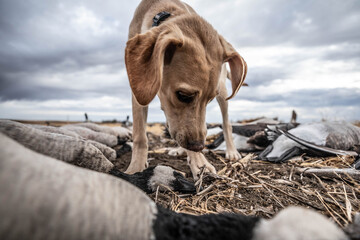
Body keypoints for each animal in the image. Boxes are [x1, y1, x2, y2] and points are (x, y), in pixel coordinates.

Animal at [124, 0, 248, 179]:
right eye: (183, 95)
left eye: (209, 99)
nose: (199, 146)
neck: (162, 9)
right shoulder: (138, 86)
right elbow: (140, 134)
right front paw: (136, 168)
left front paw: (200, 163)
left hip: (224, 92)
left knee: (226, 123)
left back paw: (231, 151)